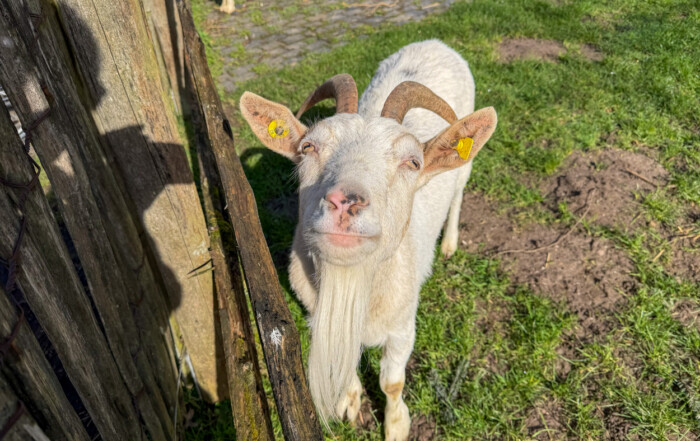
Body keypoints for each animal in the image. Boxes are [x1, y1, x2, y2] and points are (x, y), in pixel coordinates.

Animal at [240, 40, 497, 440]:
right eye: (308, 147)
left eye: (413, 162)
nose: (344, 202)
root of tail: (433, 43)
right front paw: (349, 402)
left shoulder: (404, 326)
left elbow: (392, 382)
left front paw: (396, 426)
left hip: (465, 166)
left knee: (457, 194)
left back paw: (450, 243)